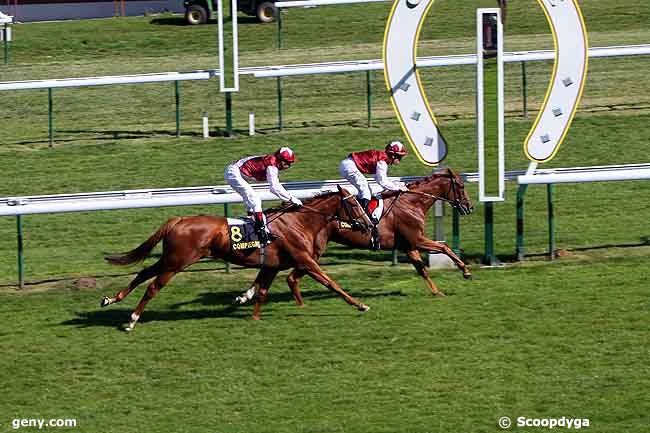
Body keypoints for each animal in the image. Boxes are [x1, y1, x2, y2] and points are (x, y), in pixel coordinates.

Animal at [100, 184, 370, 330]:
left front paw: (252, 313)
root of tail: (178, 220)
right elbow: (331, 283)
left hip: (170, 259)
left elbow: (261, 290)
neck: (299, 222)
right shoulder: (306, 261)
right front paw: (360, 305)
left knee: (144, 273)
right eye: (354, 204)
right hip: (177, 262)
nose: (367, 224)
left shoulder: (272, 265)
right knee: (153, 286)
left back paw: (111, 299)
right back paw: (132, 320)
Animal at [235, 167, 474, 306]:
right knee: (291, 274)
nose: (469, 207)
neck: (412, 202)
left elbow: (422, 269)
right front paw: (466, 271)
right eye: (461, 186)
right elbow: (445, 248)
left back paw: (246, 295)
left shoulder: (408, 245)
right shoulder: (416, 240)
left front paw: (437, 292)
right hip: (313, 250)